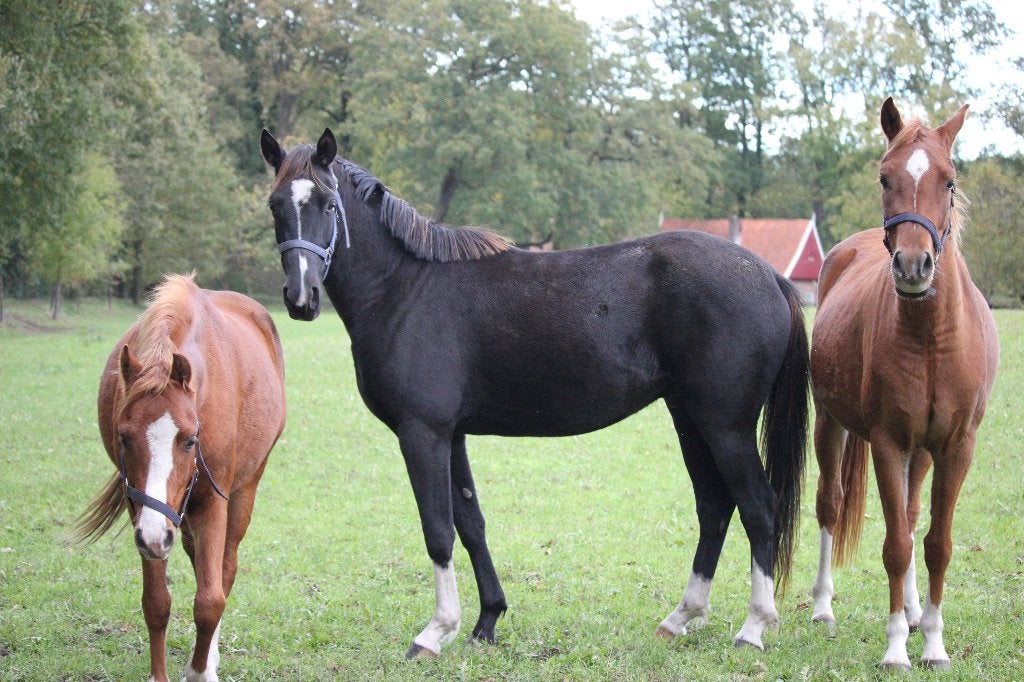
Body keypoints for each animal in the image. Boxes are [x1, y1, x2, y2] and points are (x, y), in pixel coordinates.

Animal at [72, 273, 286, 682]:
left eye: (189, 440)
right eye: (123, 437)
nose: (156, 535)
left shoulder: (213, 501)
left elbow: (211, 598)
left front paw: (201, 670)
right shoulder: (144, 511)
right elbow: (157, 602)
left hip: (242, 489)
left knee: (224, 570)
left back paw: (209, 655)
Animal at [259, 128, 810, 658]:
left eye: (328, 205)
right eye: (276, 205)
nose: (301, 298)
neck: (404, 287)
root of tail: (767, 275)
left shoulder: (423, 433)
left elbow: (438, 530)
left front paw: (435, 632)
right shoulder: (452, 435)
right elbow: (470, 522)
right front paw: (486, 622)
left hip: (726, 426)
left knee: (758, 508)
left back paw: (753, 628)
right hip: (690, 418)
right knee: (714, 507)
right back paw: (680, 619)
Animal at [808, 98, 999, 669]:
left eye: (950, 180)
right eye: (884, 177)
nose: (914, 266)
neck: (931, 338)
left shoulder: (955, 446)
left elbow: (935, 543)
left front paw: (933, 641)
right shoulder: (888, 443)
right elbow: (894, 546)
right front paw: (896, 648)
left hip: (924, 451)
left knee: (913, 519)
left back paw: (916, 613)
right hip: (831, 425)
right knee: (830, 504)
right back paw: (822, 607)